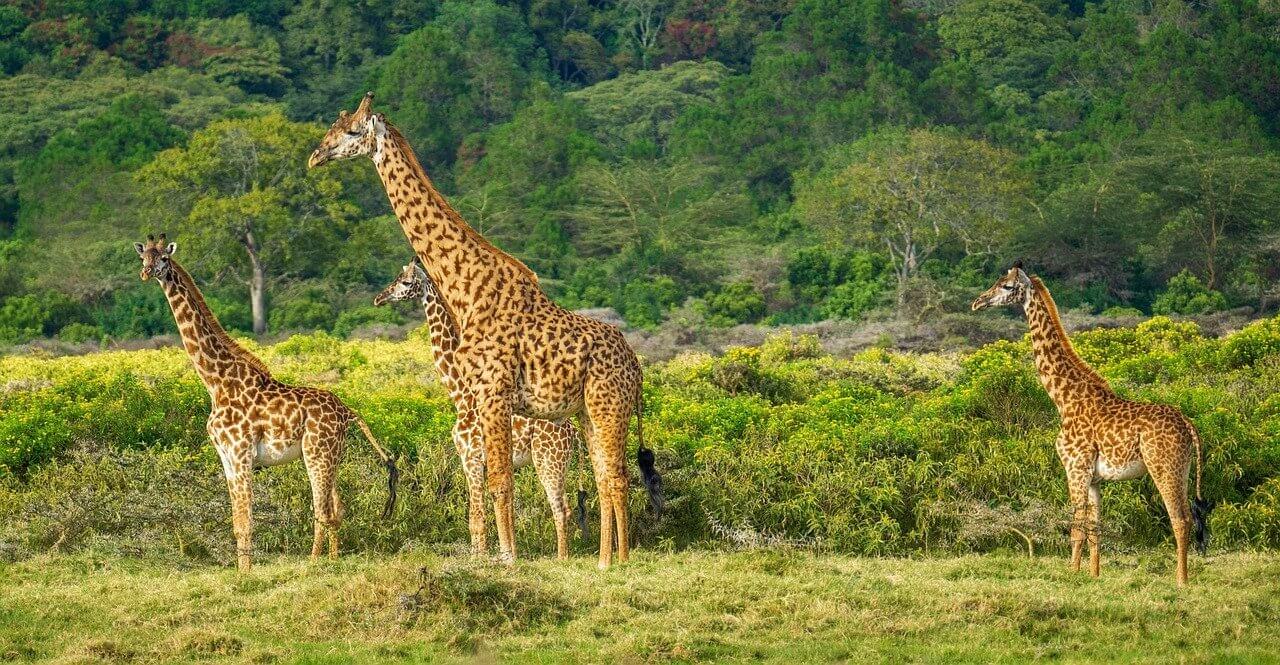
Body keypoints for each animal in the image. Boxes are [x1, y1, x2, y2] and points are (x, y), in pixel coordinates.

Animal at [135, 234, 398, 571]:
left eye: (164, 259)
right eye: (144, 258)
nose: (147, 273)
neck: (217, 382)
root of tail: (349, 412)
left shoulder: (240, 452)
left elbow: (246, 521)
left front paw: (246, 573)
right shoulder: (226, 457)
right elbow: (236, 521)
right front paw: (240, 571)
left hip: (316, 453)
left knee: (323, 511)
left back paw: (314, 564)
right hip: (332, 455)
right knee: (337, 509)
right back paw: (333, 560)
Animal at [374, 258, 586, 558]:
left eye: (405, 282)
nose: (379, 298)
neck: (460, 394)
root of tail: (573, 433)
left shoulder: (471, 458)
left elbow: (476, 517)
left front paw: (482, 558)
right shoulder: (473, 463)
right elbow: (484, 515)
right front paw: (486, 555)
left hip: (549, 460)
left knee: (561, 508)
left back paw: (561, 558)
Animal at [972, 262, 1209, 585]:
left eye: (1007, 286)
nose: (978, 302)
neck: (1064, 398)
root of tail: (1188, 424)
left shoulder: (1075, 467)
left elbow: (1076, 528)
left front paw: (1071, 575)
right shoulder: (1095, 478)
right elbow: (1095, 530)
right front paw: (1094, 576)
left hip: (1163, 467)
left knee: (1181, 519)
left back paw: (1181, 581)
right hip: (1183, 469)